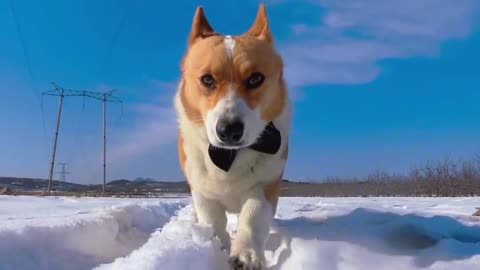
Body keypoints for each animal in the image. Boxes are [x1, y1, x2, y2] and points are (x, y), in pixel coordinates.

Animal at [173, 4, 290, 270]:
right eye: (207, 80)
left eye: (256, 78)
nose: (229, 130)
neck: (229, 155)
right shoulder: (203, 192)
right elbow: (214, 222)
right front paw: (220, 248)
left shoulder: (266, 184)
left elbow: (252, 216)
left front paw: (246, 254)